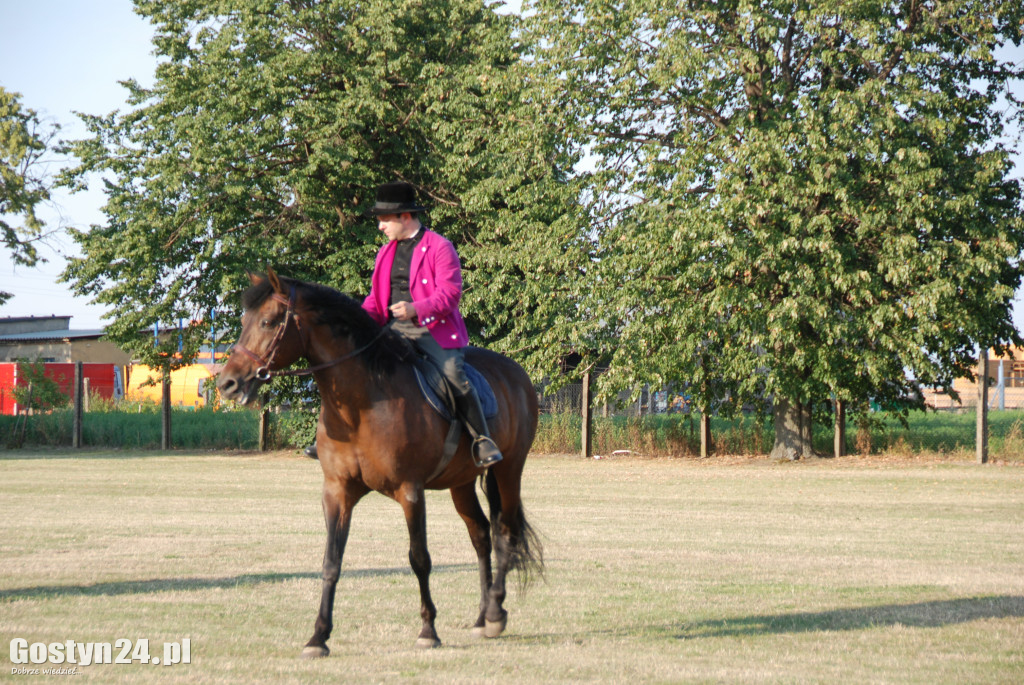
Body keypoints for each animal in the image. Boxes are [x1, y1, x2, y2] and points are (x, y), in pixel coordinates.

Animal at [211, 268, 540, 655]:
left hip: (508, 470)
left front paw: (428, 630)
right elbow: (331, 561)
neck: (362, 403)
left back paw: (495, 614)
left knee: (505, 532)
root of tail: (515, 372)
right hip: (461, 482)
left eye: (268, 321)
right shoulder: (337, 493)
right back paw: (481, 615)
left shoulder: (410, 491)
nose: (228, 384)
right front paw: (318, 636)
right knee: (480, 536)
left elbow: (419, 558)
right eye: (244, 321)